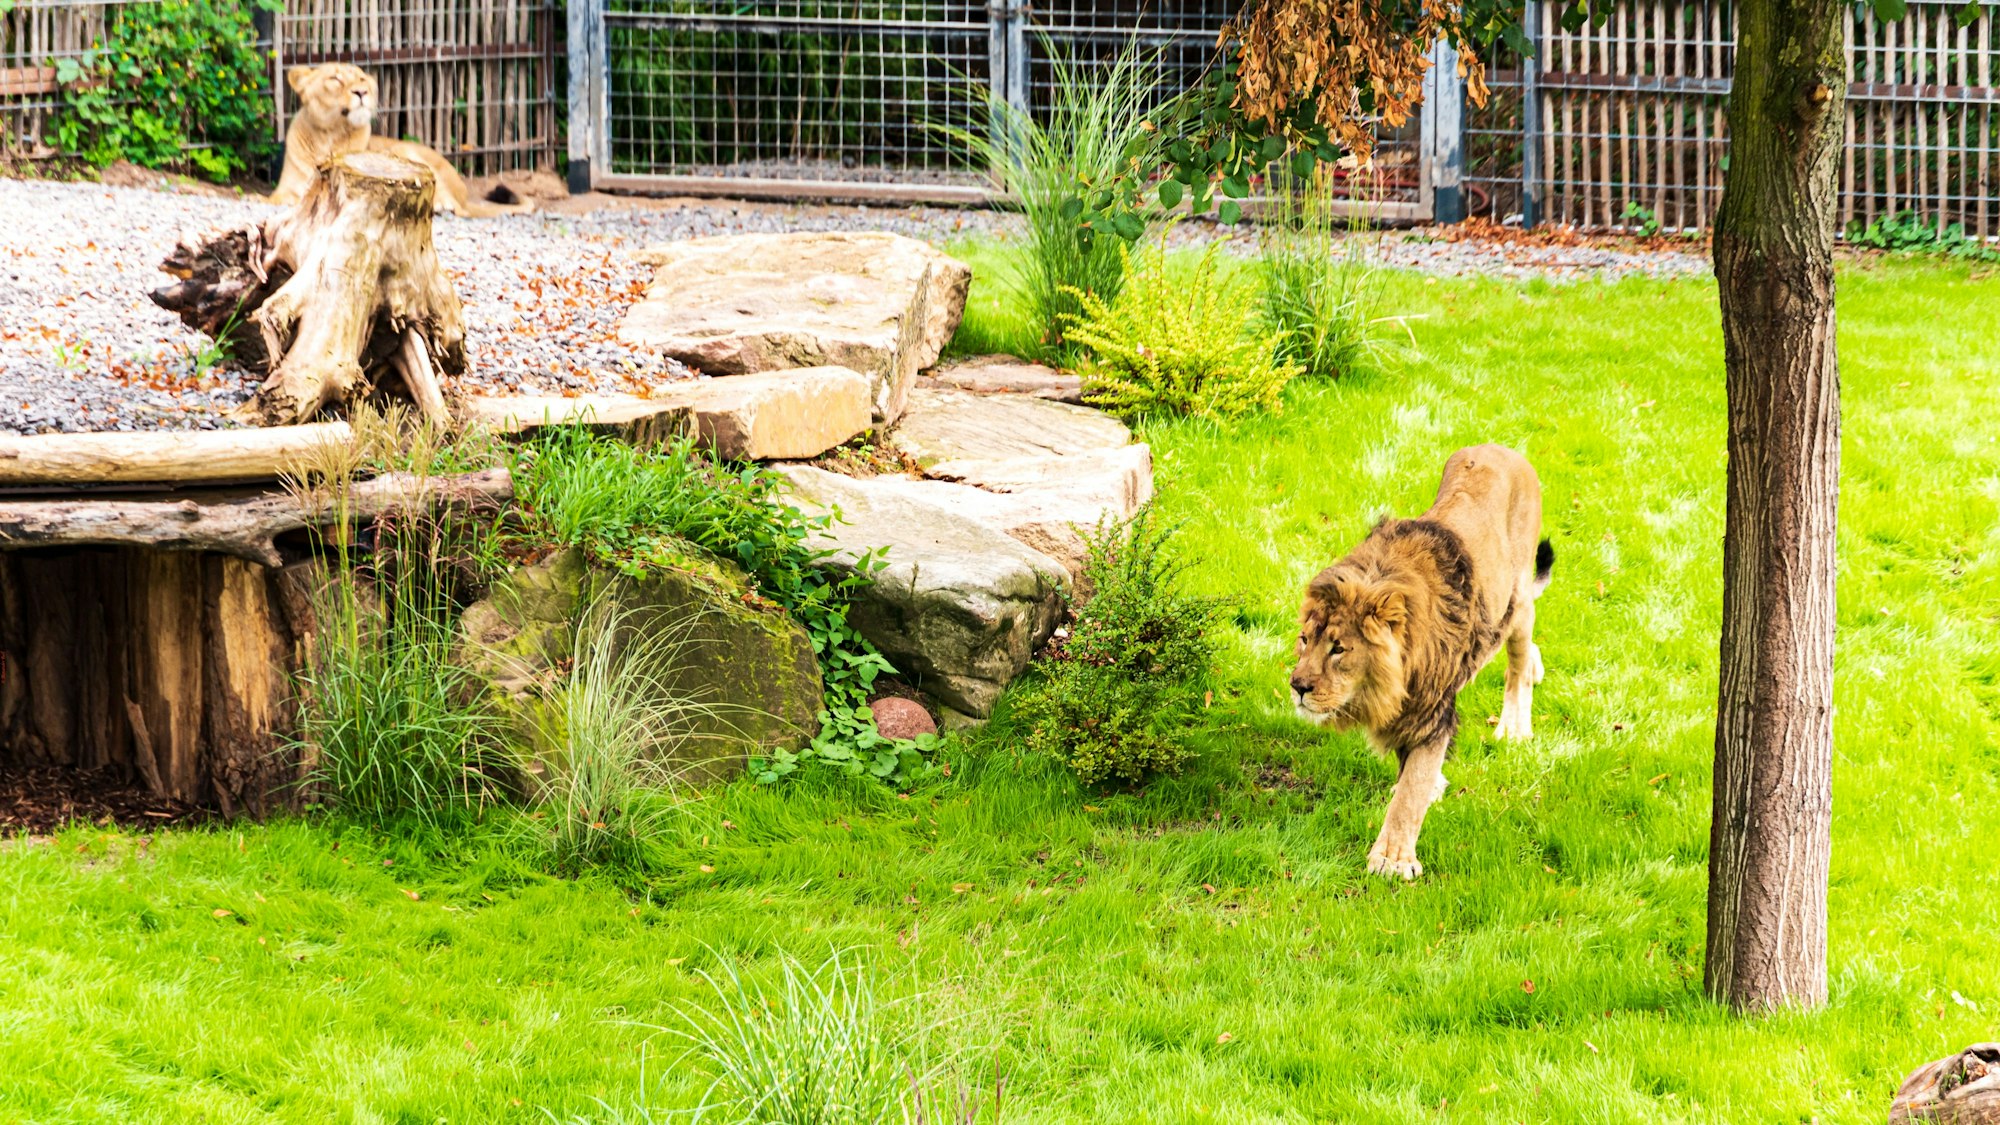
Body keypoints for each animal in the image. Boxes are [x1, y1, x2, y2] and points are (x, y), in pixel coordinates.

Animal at [270, 63, 534, 218]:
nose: (362, 92)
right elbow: (277, 198)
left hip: (405, 152)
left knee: (454, 206)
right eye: (335, 79)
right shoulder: (284, 190)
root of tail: (464, 194)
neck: (328, 136)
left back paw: (441, 206)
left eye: (362, 79)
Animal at [1289, 444, 1553, 880]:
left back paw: (1515, 729)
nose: (1297, 687)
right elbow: (1410, 774)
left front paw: (1393, 859)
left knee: (1517, 662)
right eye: (1305, 640)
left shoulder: (1432, 712)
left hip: (1516, 602)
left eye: (1338, 648)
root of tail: (1502, 448)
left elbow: (1411, 791)